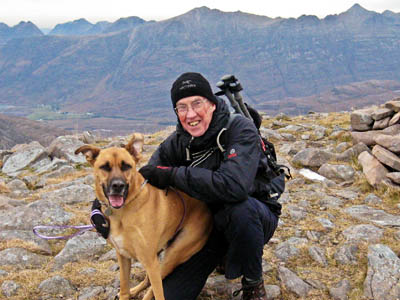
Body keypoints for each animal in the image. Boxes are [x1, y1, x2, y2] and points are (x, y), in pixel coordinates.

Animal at [75, 134, 212, 300]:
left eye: (126, 166)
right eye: (105, 167)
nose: (118, 186)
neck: (123, 211)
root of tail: (207, 206)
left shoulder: (150, 262)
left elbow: (158, 292)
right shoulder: (123, 256)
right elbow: (125, 287)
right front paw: (127, 292)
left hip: (173, 255)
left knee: (154, 286)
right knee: (147, 281)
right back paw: (135, 290)